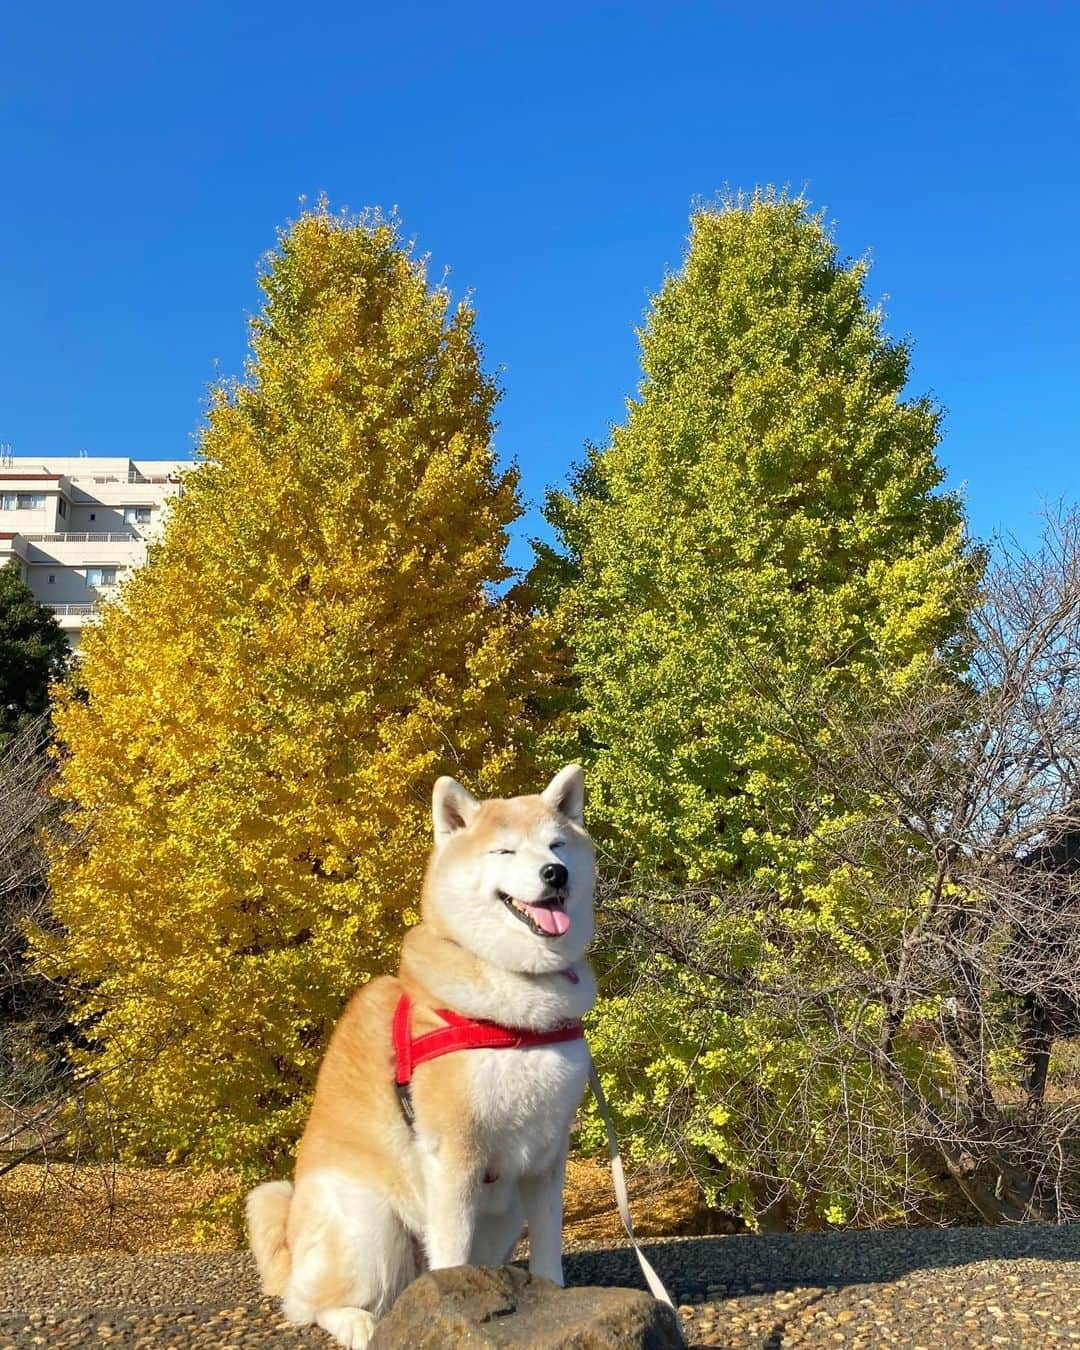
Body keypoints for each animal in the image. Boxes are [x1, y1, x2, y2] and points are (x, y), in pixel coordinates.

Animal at [247, 766, 599, 1344]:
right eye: (504, 851)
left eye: (557, 845)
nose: (554, 873)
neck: (519, 1001)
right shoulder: (455, 1153)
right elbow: (452, 1255)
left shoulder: (547, 1154)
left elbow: (549, 1248)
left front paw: (553, 1297)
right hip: (368, 1223)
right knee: (307, 1302)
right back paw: (356, 1322)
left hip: (501, 1218)